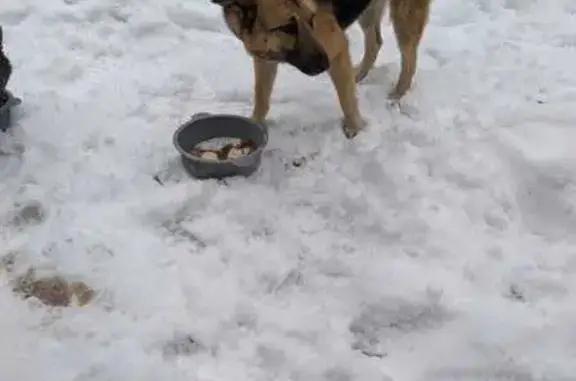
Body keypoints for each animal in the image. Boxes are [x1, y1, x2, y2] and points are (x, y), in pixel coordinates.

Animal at [214, 0, 430, 139]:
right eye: (286, 28)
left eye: (311, 19)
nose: (325, 64)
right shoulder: (265, 60)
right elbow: (261, 99)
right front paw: (255, 125)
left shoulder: (338, 49)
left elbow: (347, 101)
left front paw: (356, 130)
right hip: (368, 12)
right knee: (375, 42)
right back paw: (359, 74)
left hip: (404, 17)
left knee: (409, 59)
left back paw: (397, 94)